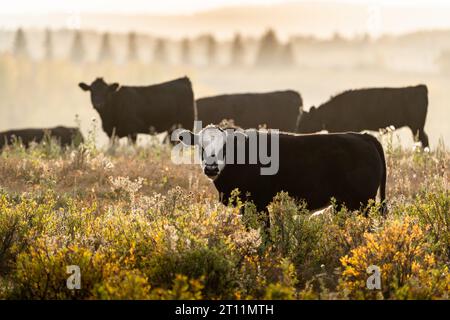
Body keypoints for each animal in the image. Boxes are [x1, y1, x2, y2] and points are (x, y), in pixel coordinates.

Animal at [178, 125, 386, 222]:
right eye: (200, 147)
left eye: (226, 147)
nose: (211, 168)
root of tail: (363, 136)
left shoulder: (257, 203)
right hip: (343, 204)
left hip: (364, 202)